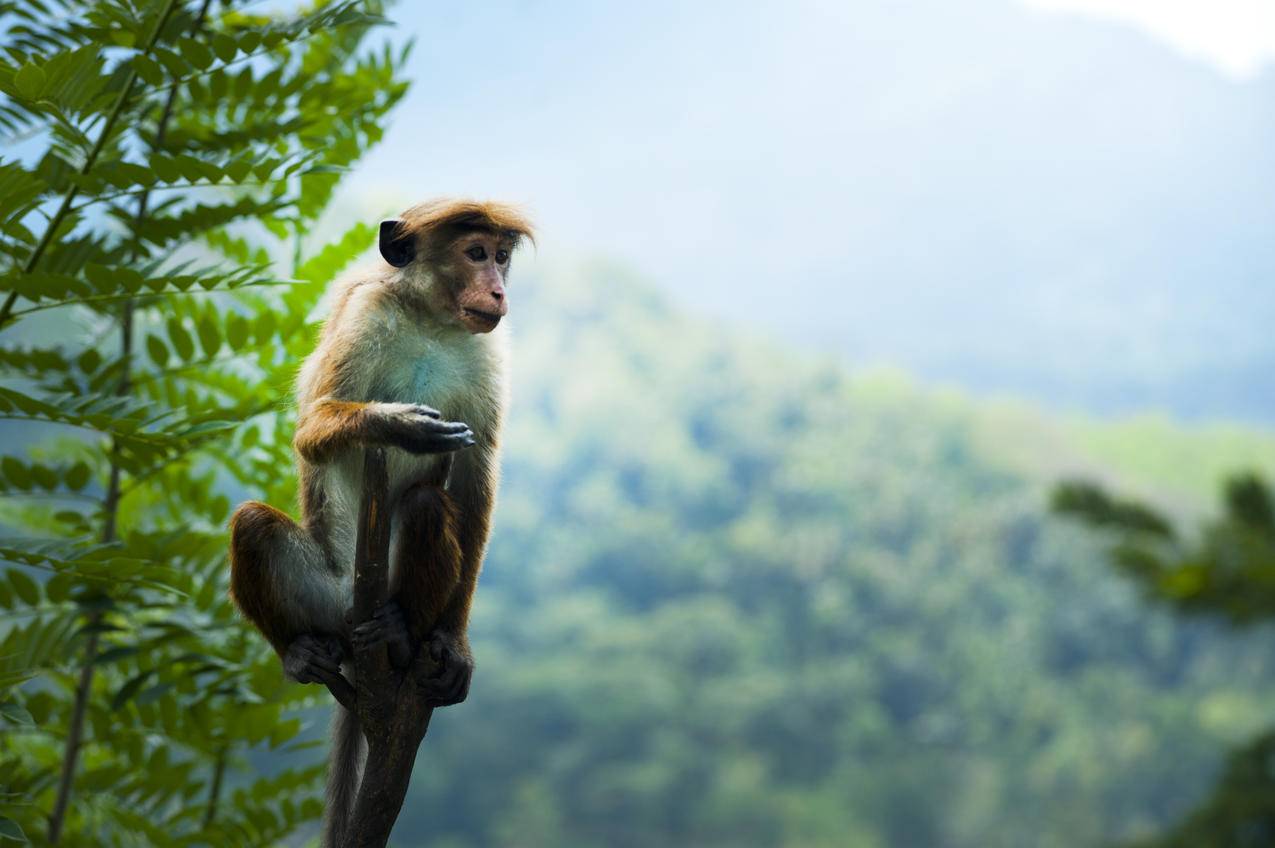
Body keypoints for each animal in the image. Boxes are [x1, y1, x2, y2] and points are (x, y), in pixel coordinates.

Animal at [226, 200, 530, 846]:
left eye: (501, 256)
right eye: (475, 253)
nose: (498, 290)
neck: (431, 322)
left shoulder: (489, 354)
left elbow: (474, 481)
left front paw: (454, 644)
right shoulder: (364, 317)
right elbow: (313, 427)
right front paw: (396, 425)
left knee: (425, 506)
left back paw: (403, 631)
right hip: (321, 596)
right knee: (252, 525)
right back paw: (299, 654)